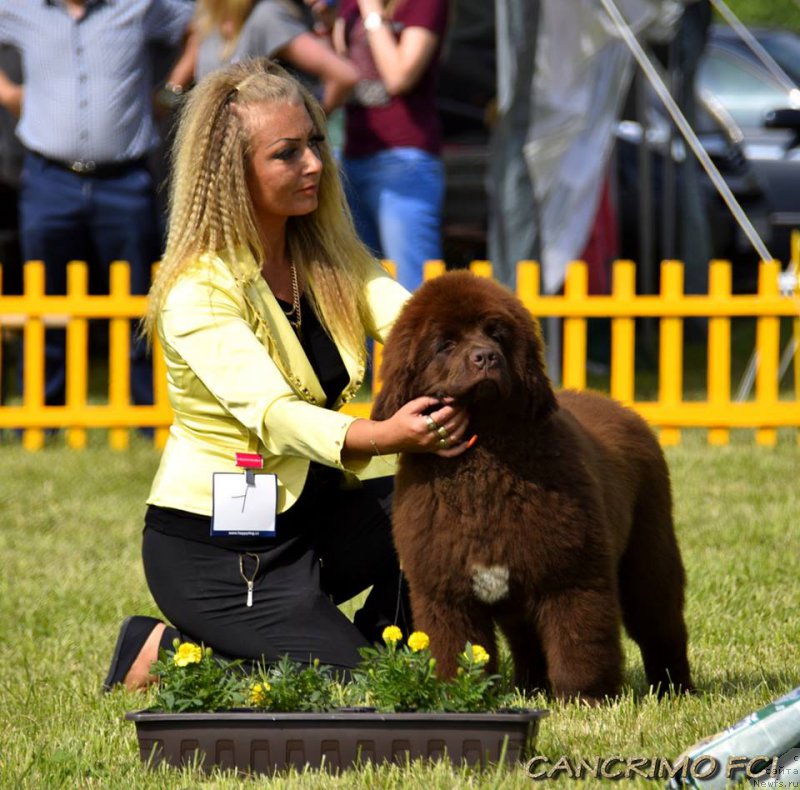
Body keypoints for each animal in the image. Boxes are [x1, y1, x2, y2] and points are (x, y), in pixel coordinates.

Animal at [372, 274, 692, 704]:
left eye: (496, 334)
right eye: (445, 344)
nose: (485, 357)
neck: (485, 461)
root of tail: (623, 408)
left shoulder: (572, 576)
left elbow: (579, 643)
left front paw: (586, 699)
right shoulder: (445, 592)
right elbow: (456, 648)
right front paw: (459, 696)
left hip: (648, 553)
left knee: (661, 625)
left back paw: (675, 687)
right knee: (527, 642)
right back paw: (529, 687)